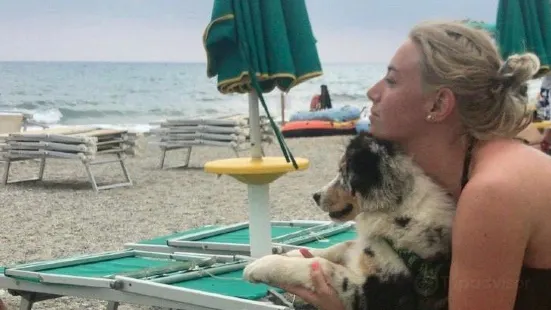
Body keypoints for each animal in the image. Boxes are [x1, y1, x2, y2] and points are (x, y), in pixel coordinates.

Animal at [246, 132, 458, 308]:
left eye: (344, 172)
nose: (316, 196)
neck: (395, 210)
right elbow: (338, 247)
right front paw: (292, 253)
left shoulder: (377, 291)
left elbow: (324, 266)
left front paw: (261, 266)